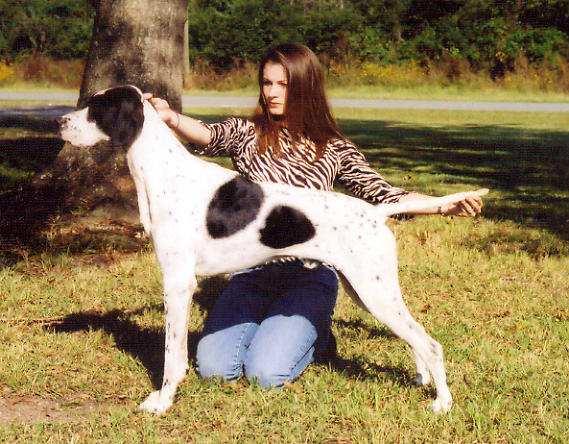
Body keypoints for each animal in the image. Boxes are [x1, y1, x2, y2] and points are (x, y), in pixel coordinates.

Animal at [56, 85, 488, 414]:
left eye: (97, 108)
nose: (59, 122)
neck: (164, 173)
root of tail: (375, 212)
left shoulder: (178, 284)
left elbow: (169, 356)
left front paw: (162, 402)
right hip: (368, 292)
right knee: (414, 339)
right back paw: (421, 380)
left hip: (375, 292)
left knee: (430, 343)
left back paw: (442, 403)